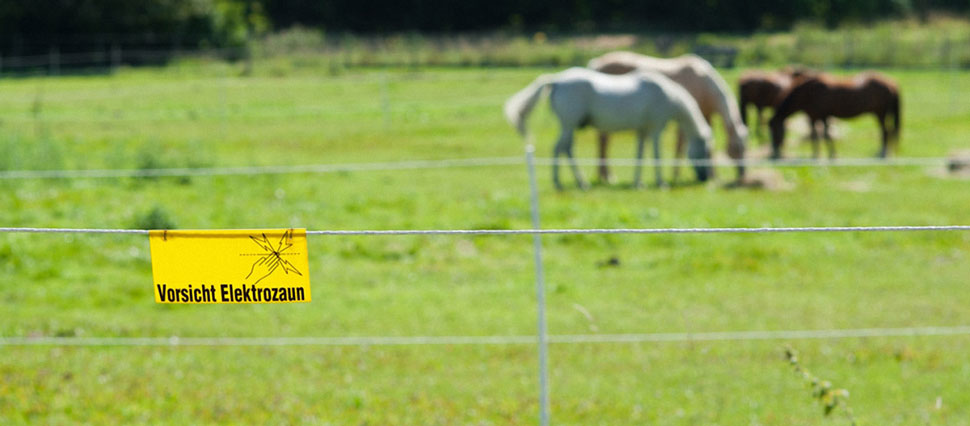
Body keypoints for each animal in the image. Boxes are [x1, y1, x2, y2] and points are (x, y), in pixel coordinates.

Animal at [506, 67, 712, 190]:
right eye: (707, 153)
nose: (705, 178)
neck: (668, 95)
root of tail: (555, 80)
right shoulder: (656, 128)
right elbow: (656, 154)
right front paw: (661, 182)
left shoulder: (642, 131)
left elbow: (640, 155)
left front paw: (638, 182)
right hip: (569, 124)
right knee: (560, 148)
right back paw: (568, 183)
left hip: (569, 126)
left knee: (566, 148)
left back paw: (577, 181)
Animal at [584, 51, 748, 181]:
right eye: (735, 148)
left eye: (745, 148)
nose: (742, 172)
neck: (704, 84)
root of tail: (596, 62)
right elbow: (680, 145)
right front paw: (675, 175)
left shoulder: (706, 116)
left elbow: (710, 145)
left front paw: (715, 175)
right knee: (603, 141)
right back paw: (607, 176)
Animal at [768, 71, 896, 160]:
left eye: (774, 130)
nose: (774, 154)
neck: (807, 92)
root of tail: (890, 84)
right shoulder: (820, 117)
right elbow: (823, 135)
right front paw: (826, 154)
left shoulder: (816, 117)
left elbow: (821, 136)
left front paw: (821, 155)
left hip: (880, 113)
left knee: (885, 131)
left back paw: (883, 153)